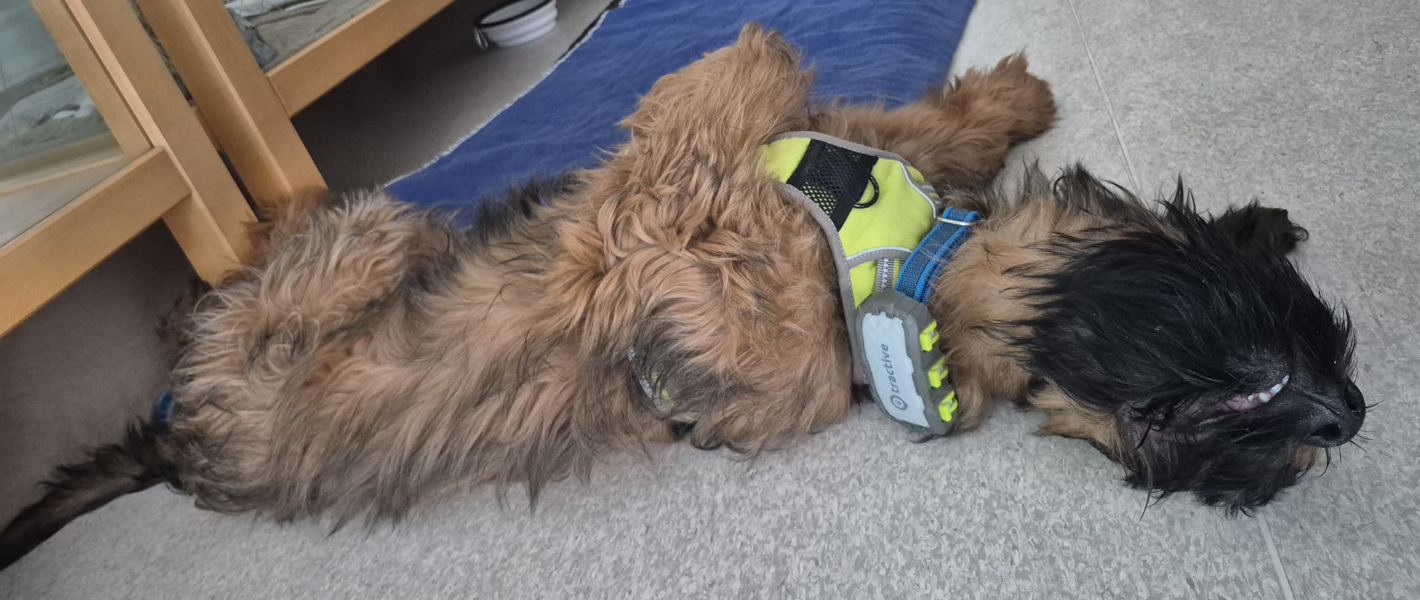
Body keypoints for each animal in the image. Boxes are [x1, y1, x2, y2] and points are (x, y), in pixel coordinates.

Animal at [0, 24, 1363, 569]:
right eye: (1278, 354)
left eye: (1302, 400)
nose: (1344, 420)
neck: (910, 271)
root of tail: (177, 446)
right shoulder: (783, 163)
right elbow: (848, 101)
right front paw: (1010, 102)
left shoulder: (666, 227)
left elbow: (743, 95)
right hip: (339, 268)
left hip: (326, 283)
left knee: (302, 263)